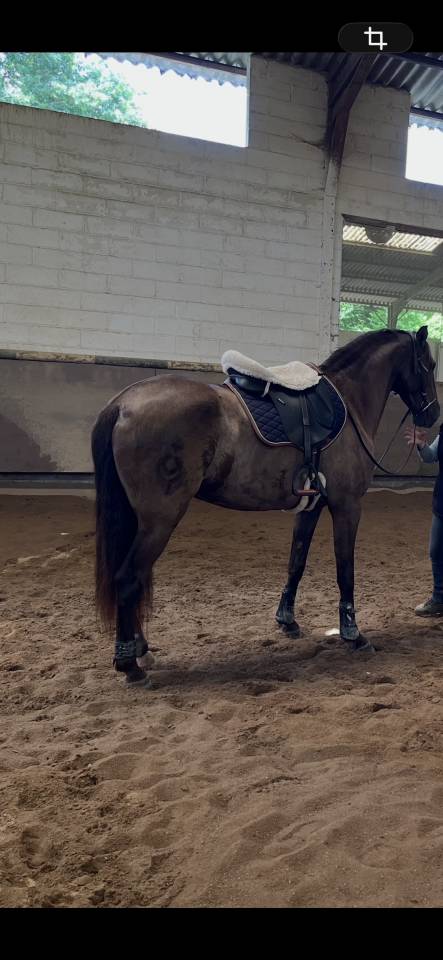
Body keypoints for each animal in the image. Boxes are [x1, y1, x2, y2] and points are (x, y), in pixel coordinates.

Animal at [91, 326, 439, 684]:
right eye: (428, 365)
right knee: (128, 578)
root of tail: (123, 404)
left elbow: (296, 562)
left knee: (133, 577)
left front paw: (287, 620)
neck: (349, 401)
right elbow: (346, 570)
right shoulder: (347, 506)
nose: (432, 414)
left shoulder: (312, 506)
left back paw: (140, 650)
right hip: (159, 520)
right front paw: (353, 634)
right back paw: (130, 664)